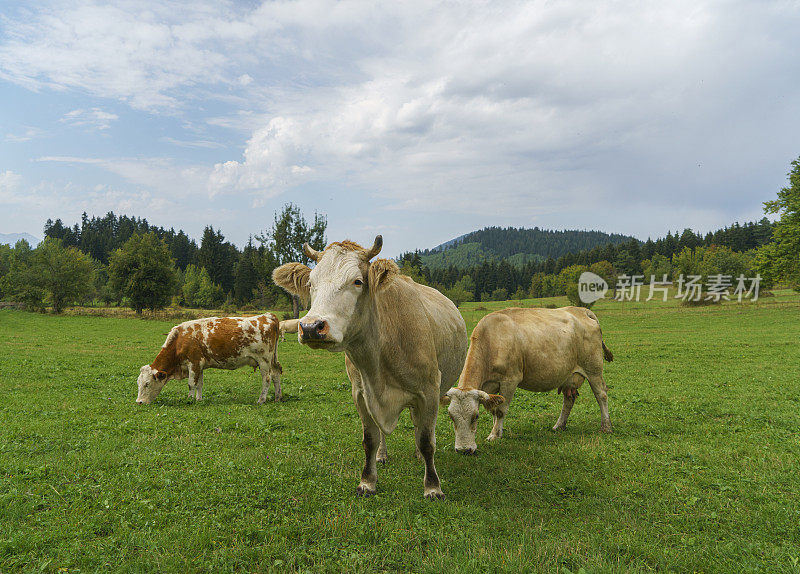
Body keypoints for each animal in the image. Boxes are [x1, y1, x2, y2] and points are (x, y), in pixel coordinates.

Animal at [138, 316, 284, 404]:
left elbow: (191, 384)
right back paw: (277, 397)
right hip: (272, 360)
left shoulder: (194, 363)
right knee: (276, 374)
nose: (139, 402)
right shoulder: (200, 366)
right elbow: (199, 384)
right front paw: (198, 399)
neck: (180, 340)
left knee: (267, 378)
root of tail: (267, 316)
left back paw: (261, 399)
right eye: (138, 383)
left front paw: (189, 400)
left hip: (264, 360)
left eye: (147, 384)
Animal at [274, 236, 468, 502]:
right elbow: (370, 439)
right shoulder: (361, 393)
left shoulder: (429, 391)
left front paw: (432, 487)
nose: (312, 327)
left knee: (419, 426)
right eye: (311, 283)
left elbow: (427, 440)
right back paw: (382, 455)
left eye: (357, 281)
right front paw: (367, 481)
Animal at [440, 306, 616, 454]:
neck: (492, 340)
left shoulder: (510, 380)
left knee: (601, 395)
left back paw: (606, 427)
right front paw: (496, 431)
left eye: (475, 416)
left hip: (594, 369)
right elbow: (494, 411)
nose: (464, 450)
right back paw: (559, 426)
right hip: (569, 376)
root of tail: (582, 310)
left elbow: (500, 410)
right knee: (569, 400)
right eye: (451, 417)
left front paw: (494, 435)